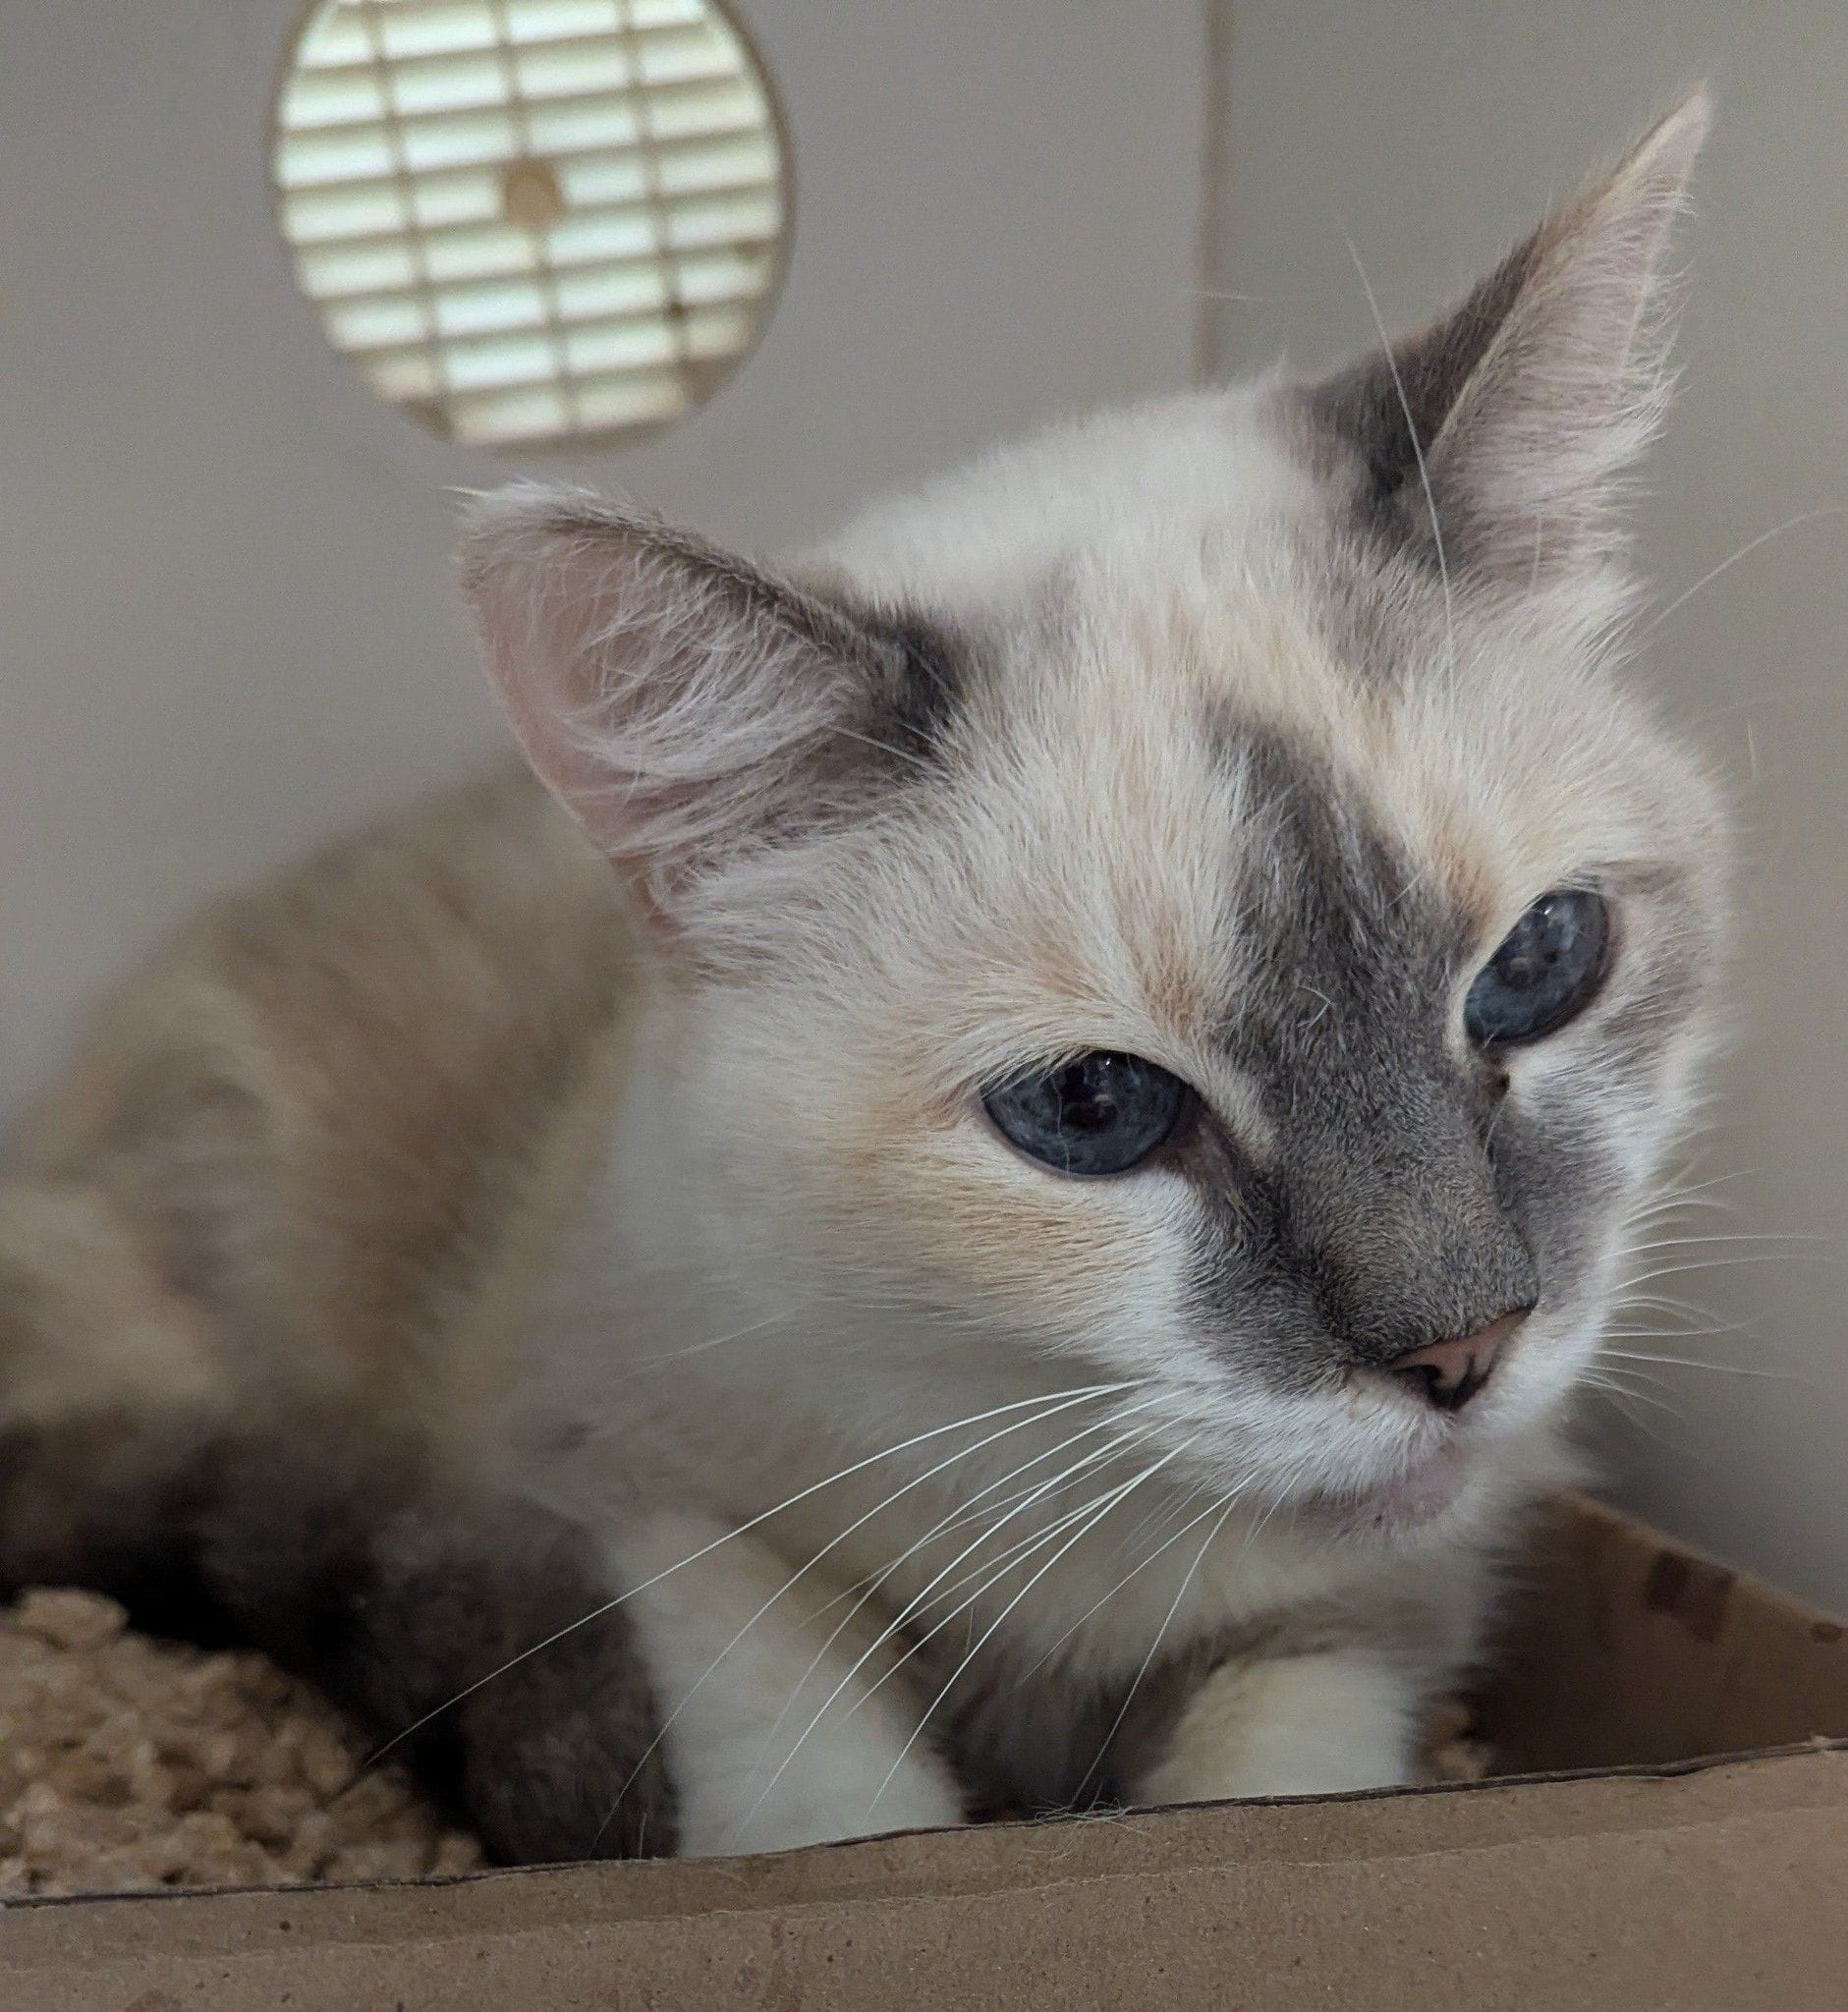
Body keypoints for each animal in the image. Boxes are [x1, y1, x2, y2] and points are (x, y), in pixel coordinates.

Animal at [3, 90, 1739, 1851]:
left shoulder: (1366, 1617)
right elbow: (832, 1801)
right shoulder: (642, 1506)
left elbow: (1277, 1781)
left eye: (1536, 966)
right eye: (1093, 1108)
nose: (1465, 1354)